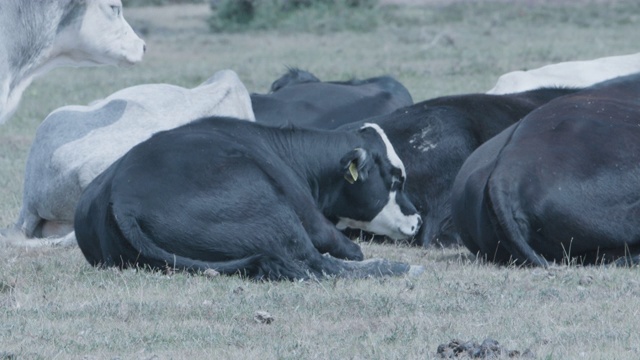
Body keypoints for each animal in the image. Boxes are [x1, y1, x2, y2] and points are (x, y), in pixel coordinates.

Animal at [74, 116, 424, 280]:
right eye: (396, 179)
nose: (418, 220)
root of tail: (122, 194)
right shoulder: (315, 223)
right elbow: (350, 250)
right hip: (276, 213)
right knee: (319, 264)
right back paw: (403, 268)